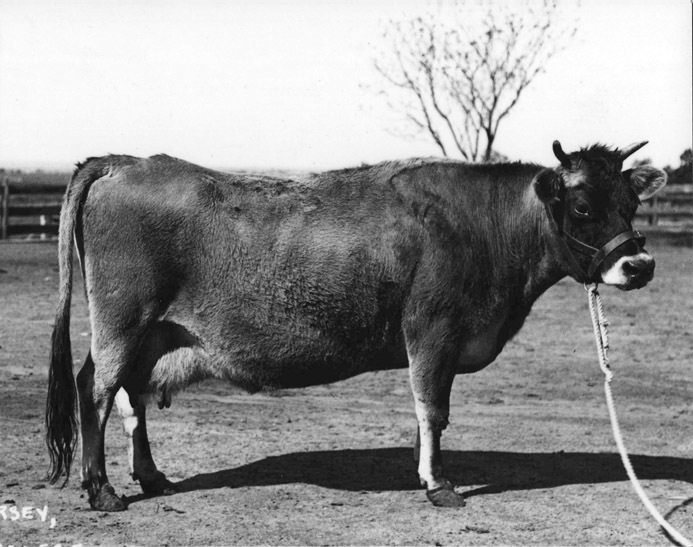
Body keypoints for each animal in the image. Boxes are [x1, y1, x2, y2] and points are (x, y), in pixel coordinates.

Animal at [46, 141, 667, 511]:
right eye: (582, 205)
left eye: (632, 202)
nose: (639, 265)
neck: (485, 225)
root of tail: (125, 161)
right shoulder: (433, 332)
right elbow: (432, 409)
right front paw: (438, 484)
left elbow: (426, 414)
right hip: (123, 321)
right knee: (96, 389)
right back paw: (101, 490)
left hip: (150, 333)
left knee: (130, 395)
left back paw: (151, 477)